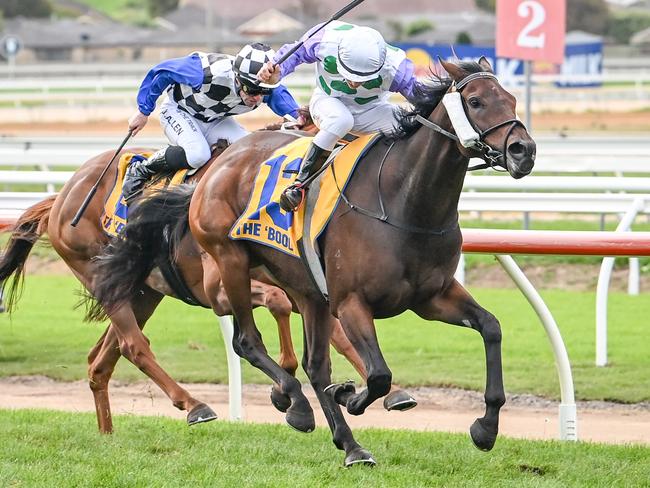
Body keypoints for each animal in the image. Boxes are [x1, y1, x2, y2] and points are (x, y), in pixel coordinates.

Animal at [93, 59, 536, 468]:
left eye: (511, 99)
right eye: (476, 101)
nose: (524, 151)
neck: (404, 200)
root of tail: (214, 168)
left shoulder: (432, 296)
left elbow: (491, 327)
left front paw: (485, 428)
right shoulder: (351, 301)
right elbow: (379, 374)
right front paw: (351, 396)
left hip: (308, 291)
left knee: (315, 364)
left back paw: (350, 444)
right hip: (231, 261)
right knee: (246, 341)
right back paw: (299, 406)